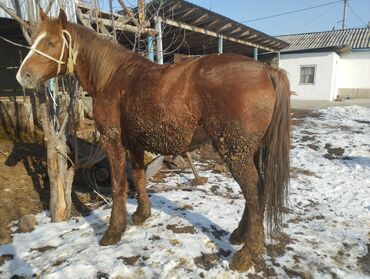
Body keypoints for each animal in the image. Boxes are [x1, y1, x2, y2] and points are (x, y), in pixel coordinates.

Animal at [16, 9, 290, 274]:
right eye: (36, 38)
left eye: (52, 42)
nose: (23, 76)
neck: (112, 77)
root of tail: (268, 70)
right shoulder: (135, 144)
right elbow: (138, 177)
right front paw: (141, 215)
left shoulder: (112, 142)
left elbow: (118, 184)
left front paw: (114, 231)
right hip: (249, 151)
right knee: (257, 189)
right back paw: (240, 235)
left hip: (235, 152)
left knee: (253, 192)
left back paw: (247, 254)